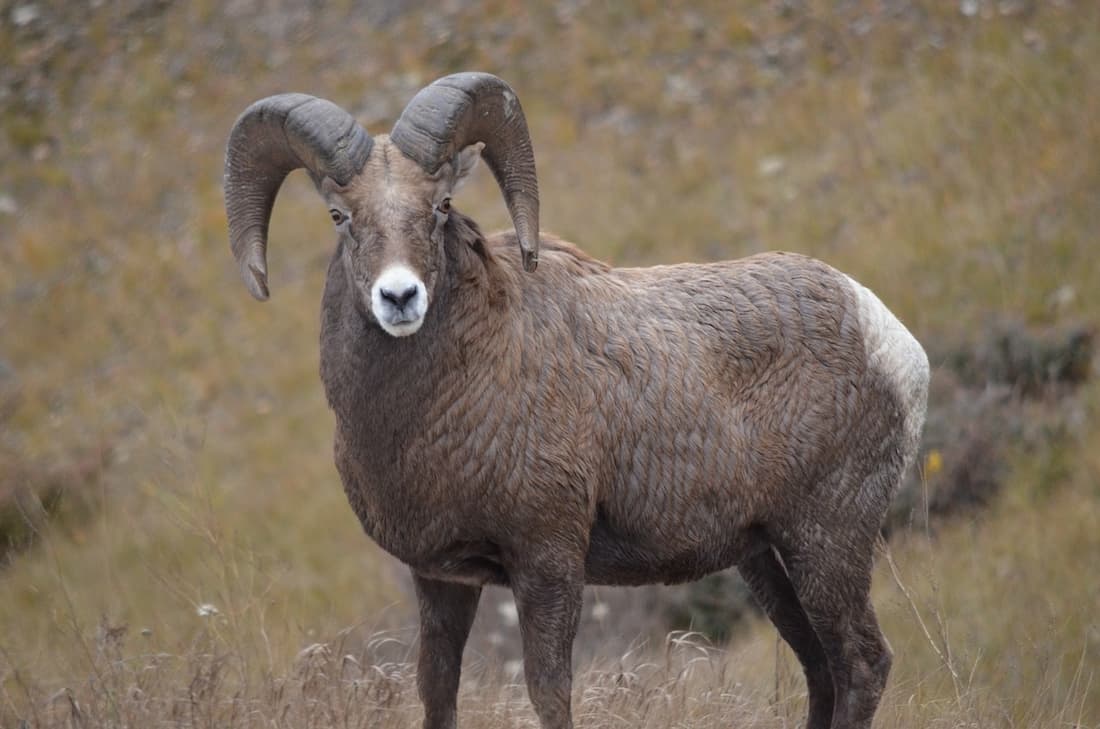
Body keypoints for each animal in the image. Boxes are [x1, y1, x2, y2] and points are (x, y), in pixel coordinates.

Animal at [223, 72, 928, 729]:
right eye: (340, 216)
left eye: (441, 204)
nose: (400, 297)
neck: (444, 402)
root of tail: (889, 336)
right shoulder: (442, 579)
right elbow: (437, 693)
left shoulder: (548, 562)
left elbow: (549, 693)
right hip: (767, 559)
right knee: (820, 668)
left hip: (825, 543)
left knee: (862, 663)